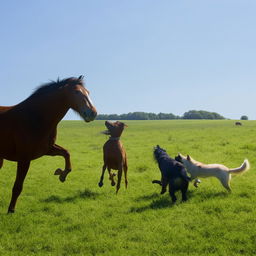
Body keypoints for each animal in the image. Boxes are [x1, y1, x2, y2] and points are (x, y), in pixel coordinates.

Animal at [0, 76, 97, 214]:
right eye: (77, 92)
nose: (93, 113)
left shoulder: (47, 149)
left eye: (88, 92)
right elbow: (18, 186)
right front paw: (11, 210)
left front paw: (61, 174)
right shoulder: (24, 159)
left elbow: (66, 153)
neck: (35, 117)